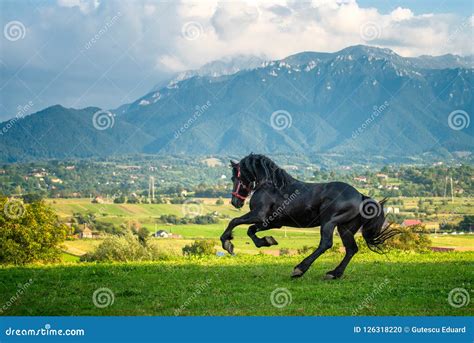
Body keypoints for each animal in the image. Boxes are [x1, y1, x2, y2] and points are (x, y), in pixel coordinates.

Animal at [220, 155, 398, 280]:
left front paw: (228, 244)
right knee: (351, 249)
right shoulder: (271, 222)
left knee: (326, 244)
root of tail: (360, 196)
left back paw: (299, 269)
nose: (235, 202)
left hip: (329, 222)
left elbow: (234, 221)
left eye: (234, 177)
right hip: (345, 227)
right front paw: (268, 241)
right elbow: (250, 231)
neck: (270, 186)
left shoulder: (259, 215)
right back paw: (334, 273)